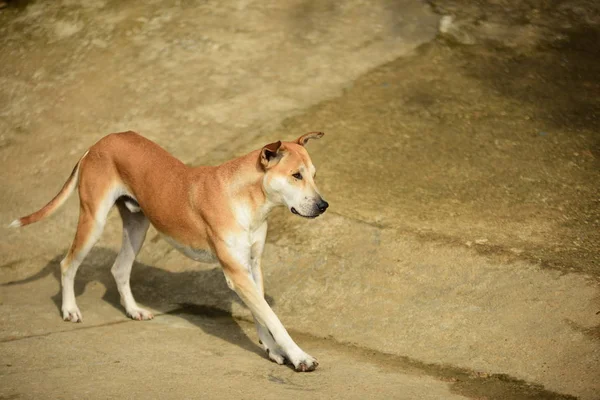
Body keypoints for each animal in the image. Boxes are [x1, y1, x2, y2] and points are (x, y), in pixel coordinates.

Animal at [9, 131, 328, 372]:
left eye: (314, 175)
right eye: (296, 175)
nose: (323, 205)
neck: (247, 198)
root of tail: (98, 143)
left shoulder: (252, 264)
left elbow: (262, 313)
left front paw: (273, 350)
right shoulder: (236, 273)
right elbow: (272, 317)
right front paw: (299, 357)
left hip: (137, 226)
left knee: (119, 269)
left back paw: (133, 310)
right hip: (94, 220)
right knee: (67, 264)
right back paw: (70, 310)